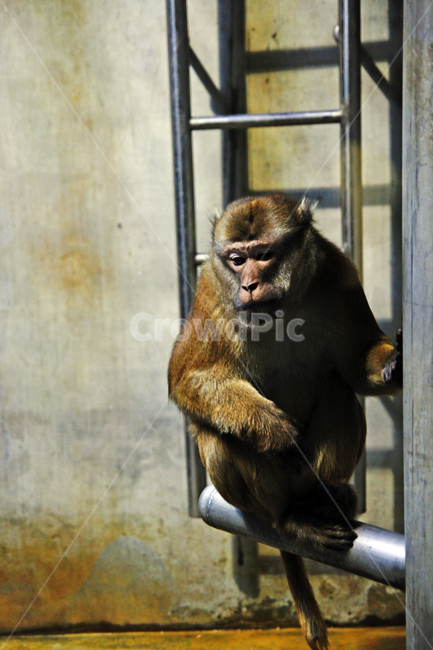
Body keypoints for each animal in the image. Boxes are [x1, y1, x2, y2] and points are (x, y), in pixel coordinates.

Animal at [168, 192, 402, 650]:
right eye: (236, 259)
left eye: (263, 255)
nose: (248, 284)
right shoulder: (211, 289)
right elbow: (186, 378)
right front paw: (271, 428)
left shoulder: (338, 272)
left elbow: (354, 364)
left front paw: (393, 367)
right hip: (260, 496)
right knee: (218, 434)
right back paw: (290, 520)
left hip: (310, 473)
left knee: (337, 388)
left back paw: (327, 497)